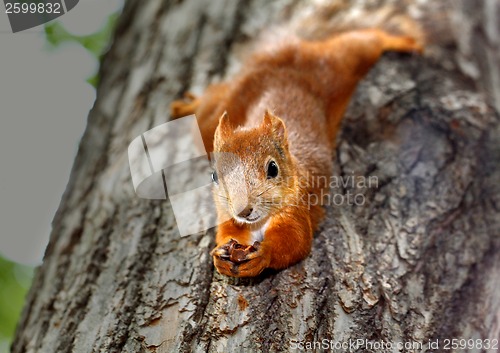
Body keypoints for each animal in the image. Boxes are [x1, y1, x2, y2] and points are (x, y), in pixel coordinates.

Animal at [171, 26, 422, 276]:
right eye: (214, 176)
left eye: (273, 169)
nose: (243, 211)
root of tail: (279, 59)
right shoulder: (227, 213)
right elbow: (228, 232)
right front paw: (221, 255)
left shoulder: (297, 207)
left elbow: (296, 241)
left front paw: (264, 254)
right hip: (213, 118)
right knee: (211, 101)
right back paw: (188, 105)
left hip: (341, 62)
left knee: (366, 39)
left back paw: (406, 40)